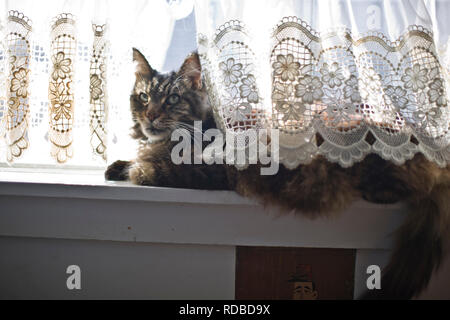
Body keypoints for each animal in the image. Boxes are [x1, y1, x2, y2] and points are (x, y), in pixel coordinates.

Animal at [106, 48, 450, 300]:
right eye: (144, 97)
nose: (150, 116)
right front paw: (117, 165)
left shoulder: (206, 170)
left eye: (173, 99)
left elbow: (149, 169)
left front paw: (134, 168)